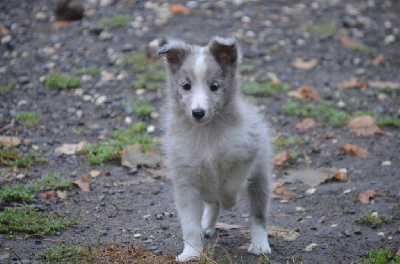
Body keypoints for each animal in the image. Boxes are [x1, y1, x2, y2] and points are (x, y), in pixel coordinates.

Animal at [156, 35, 272, 262]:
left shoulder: (246, 154)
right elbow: (189, 226)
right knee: (211, 204)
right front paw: (191, 253)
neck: (206, 136)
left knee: (258, 216)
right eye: (186, 86)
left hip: (260, 178)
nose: (198, 112)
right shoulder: (185, 182)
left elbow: (230, 186)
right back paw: (207, 225)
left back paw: (260, 245)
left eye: (214, 86)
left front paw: (229, 200)